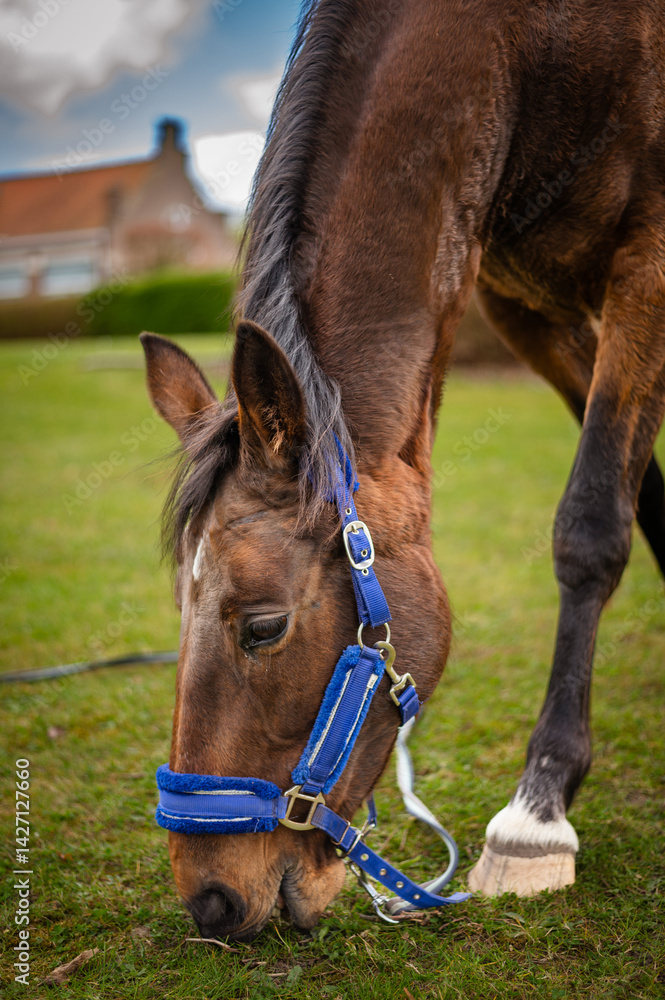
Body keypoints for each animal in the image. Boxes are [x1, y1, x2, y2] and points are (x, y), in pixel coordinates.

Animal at [141, 0, 665, 940]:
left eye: (263, 627)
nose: (209, 899)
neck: (532, 50)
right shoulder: (523, 305)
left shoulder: (646, 264)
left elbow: (592, 527)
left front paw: (537, 815)